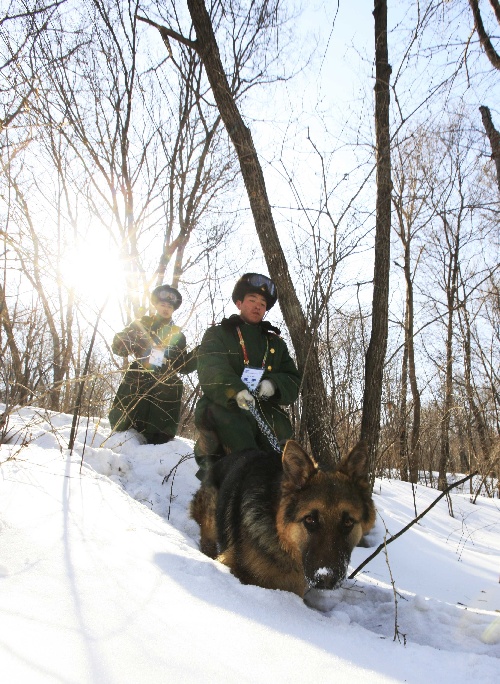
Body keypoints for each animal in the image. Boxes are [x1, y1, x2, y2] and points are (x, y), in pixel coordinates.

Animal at [191, 440, 376, 596]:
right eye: (310, 520)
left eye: (348, 522)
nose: (326, 578)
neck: (280, 539)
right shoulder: (229, 564)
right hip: (211, 512)